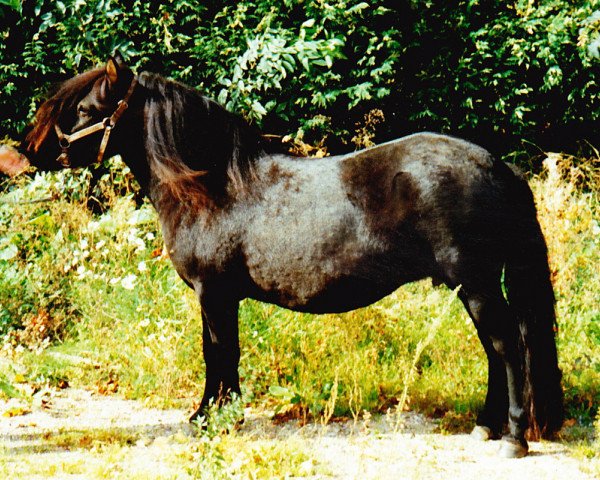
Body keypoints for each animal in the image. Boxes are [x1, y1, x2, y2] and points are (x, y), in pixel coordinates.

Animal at [18, 56, 564, 458]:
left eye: (85, 109)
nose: (26, 151)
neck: (212, 188)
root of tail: (497, 165)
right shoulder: (216, 298)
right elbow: (219, 353)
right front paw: (211, 414)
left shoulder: (214, 294)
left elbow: (220, 353)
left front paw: (217, 418)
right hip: (470, 287)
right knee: (495, 349)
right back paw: (485, 427)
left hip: (476, 284)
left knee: (508, 345)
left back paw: (514, 438)